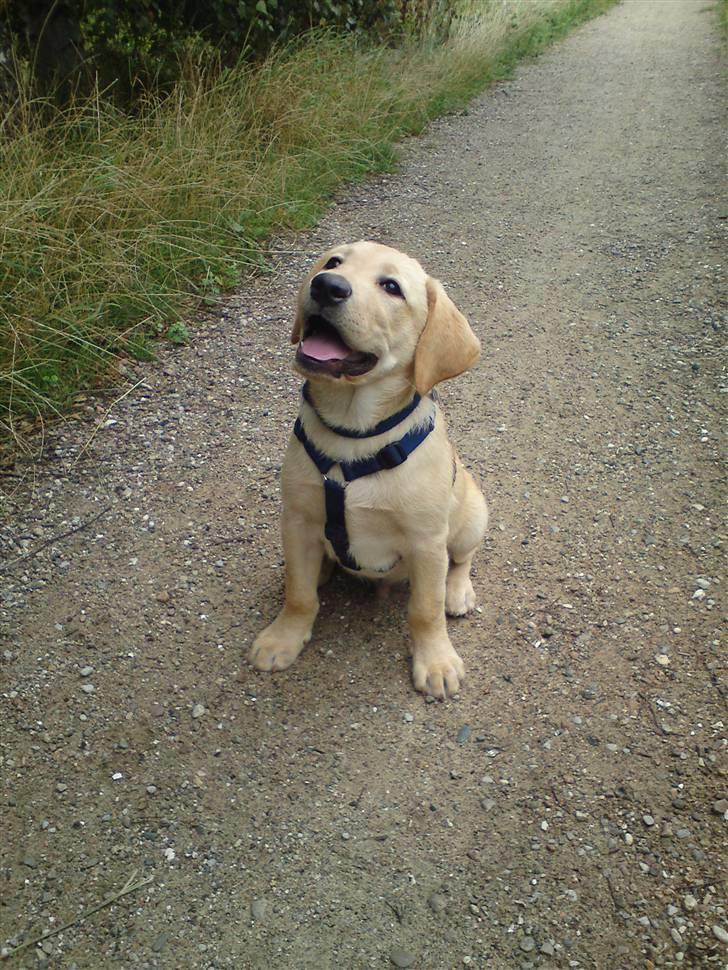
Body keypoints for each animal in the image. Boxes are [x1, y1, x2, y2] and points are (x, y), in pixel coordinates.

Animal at [250, 242, 490, 696]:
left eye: (391, 287)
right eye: (333, 263)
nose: (326, 286)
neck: (354, 434)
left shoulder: (426, 542)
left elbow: (426, 610)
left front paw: (436, 661)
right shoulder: (298, 520)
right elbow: (299, 594)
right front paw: (283, 638)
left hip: (472, 515)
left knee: (461, 558)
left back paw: (458, 592)